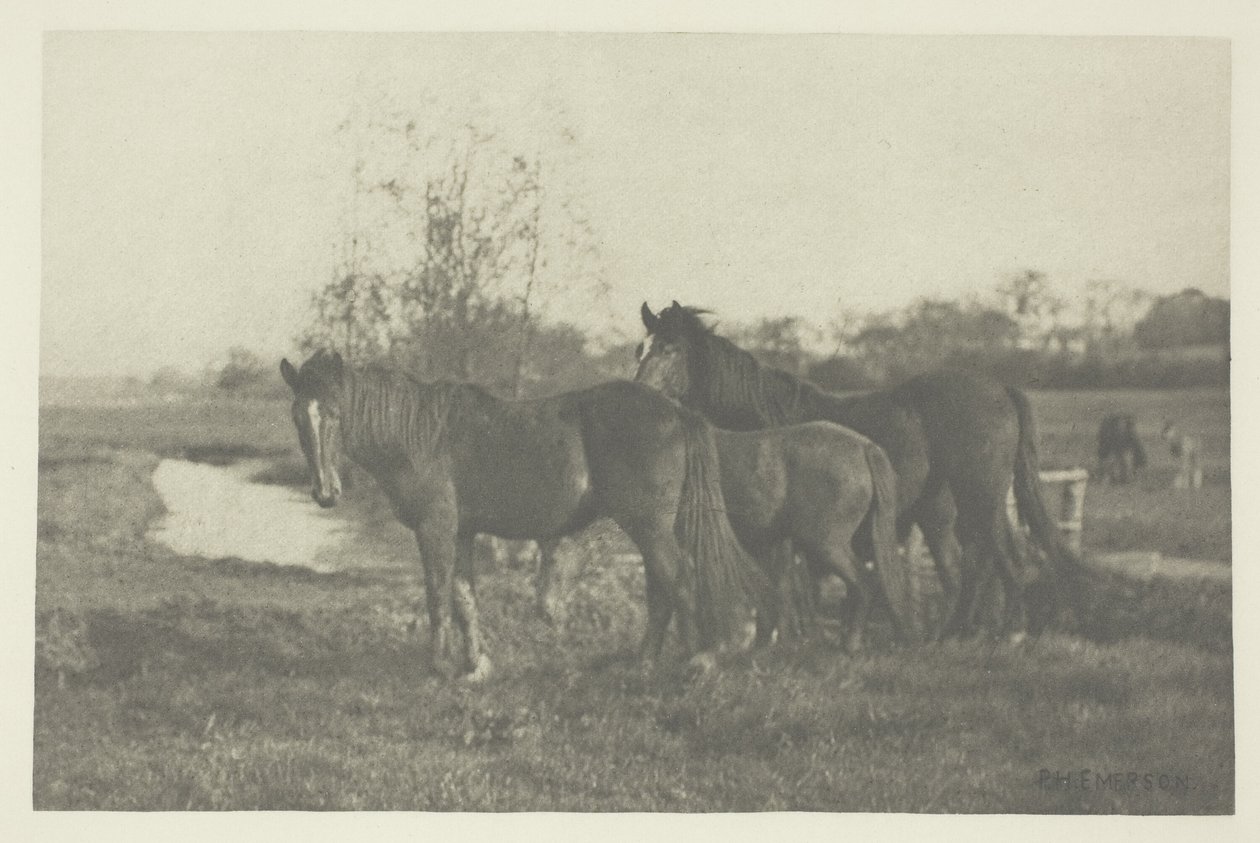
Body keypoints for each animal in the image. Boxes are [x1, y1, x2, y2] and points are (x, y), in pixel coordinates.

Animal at [282, 347, 761, 675]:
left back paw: (691, 664)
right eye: (297, 417)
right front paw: (475, 667)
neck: (420, 434)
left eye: (335, 413)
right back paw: (644, 664)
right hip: (652, 526)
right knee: (661, 587)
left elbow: (437, 594)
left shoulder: (435, 528)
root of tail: (675, 411)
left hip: (648, 525)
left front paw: (438, 666)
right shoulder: (461, 532)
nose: (325, 493)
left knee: (679, 578)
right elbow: (465, 597)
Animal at [635, 302, 1088, 637]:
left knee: (1007, 557)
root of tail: (1001, 389)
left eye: (671, 347)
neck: (768, 420)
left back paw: (1010, 631)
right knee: (970, 566)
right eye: (640, 348)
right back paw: (955, 632)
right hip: (945, 510)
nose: (638, 394)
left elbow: (790, 583)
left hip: (982, 496)